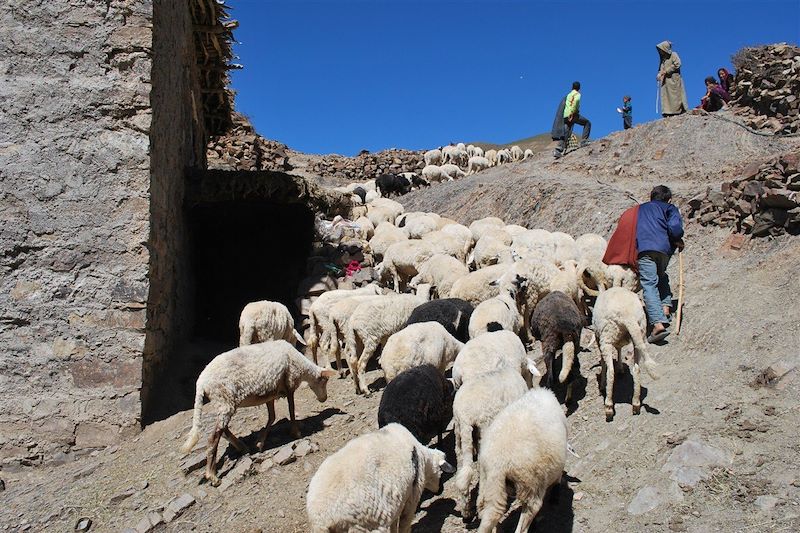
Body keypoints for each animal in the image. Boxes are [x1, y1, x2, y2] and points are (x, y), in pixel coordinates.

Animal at [180, 342, 336, 484]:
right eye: (325, 380)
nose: (324, 399)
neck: (302, 366)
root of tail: (201, 383)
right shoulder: (289, 384)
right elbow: (291, 410)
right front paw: (296, 433)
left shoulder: (271, 393)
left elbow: (272, 417)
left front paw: (260, 443)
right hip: (223, 400)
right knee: (214, 437)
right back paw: (212, 476)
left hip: (223, 403)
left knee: (223, 430)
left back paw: (242, 447)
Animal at [308, 424, 456, 532]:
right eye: (441, 473)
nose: (441, 491)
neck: (423, 458)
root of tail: (322, 520)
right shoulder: (411, 498)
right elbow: (404, 525)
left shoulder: (396, 502)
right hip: (366, 527)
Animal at [456, 366, 532, 520]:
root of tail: (465, 414)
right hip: (484, 427)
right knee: (481, 465)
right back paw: (481, 505)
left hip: (459, 434)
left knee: (462, 470)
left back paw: (466, 511)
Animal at [478, 386, 564, 532]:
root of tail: (498, 463)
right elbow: (559, 476)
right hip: (531, 484)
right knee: (526, 519)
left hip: (489, 484)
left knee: (490, 514)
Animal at [592, 286, 660, 420]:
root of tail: (628, 316)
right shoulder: (619, 340)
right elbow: (618, 349)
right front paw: (621, 368)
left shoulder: (599, 338)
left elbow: (603, 362)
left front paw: (602, 384)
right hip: (639, 333)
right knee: (637, 369)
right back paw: (636, 404)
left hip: (606, 337)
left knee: (610, 372)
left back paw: (608, 407)